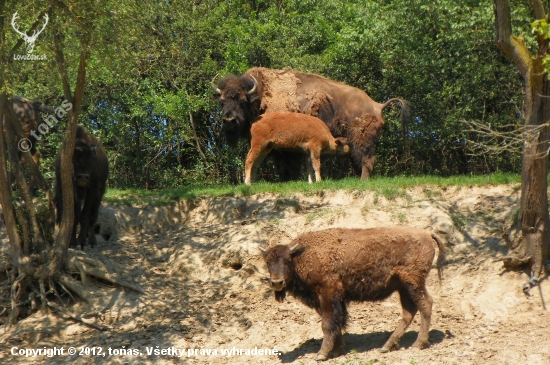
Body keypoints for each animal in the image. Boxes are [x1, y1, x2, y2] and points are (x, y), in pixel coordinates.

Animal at [213, 68, 412, 179]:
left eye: (242, 100)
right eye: (221, 102)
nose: (229, 121)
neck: (260, 97)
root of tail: (377, 105)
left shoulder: (283, 150)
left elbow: (287, 168)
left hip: (361, 139)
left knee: (366, 160)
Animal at [260, 226, 446, 360]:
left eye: (286, 260)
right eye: (268, 262)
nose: (277, 282)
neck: (303, 254)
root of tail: (427, 233)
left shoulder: (327, 294)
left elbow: (327, 324)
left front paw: (322, 354)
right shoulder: (327, 300)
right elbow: (337, 323)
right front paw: (337, 350)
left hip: (413, 283)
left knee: (425, 305)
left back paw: (418, 343)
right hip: (403, 288)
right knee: (409, 312)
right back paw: (387, 346)